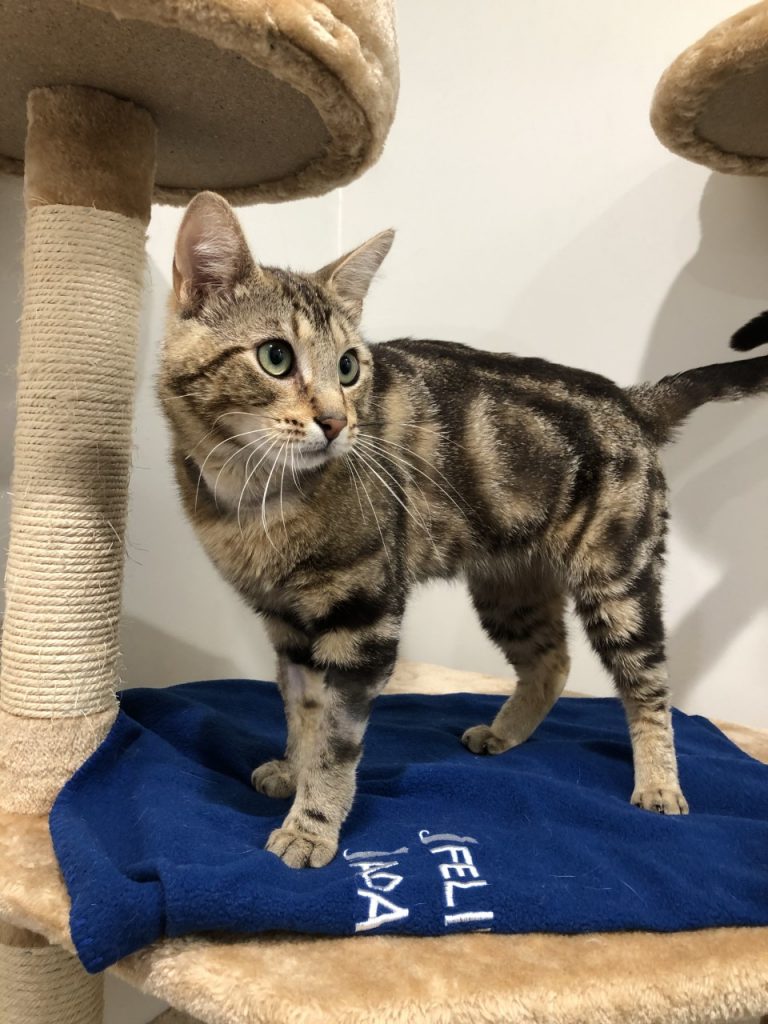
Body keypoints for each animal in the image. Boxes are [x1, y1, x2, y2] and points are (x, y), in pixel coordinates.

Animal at [159, 190, 768, 869]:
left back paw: (659, 783)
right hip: (510, 591)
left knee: (650, 689)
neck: (253, 496)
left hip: (619, 585)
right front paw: (293, 773)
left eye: (348, 367)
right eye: (275, 357)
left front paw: (311, 826)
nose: (338, 422)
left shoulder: (363, 622)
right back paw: (504, 733)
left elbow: (337, 745)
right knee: (552, 663)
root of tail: (630, 399)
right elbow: (303, 712)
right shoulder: (288, 625)